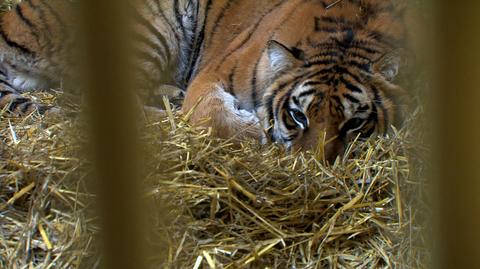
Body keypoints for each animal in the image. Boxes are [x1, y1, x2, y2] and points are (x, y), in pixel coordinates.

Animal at [0, 0, 412, 161]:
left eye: (355, 124)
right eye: (298, 116)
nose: (312, 166)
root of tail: (15, 15)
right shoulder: (216, 69)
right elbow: (210, 115)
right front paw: (252, 130)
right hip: (149, 29)